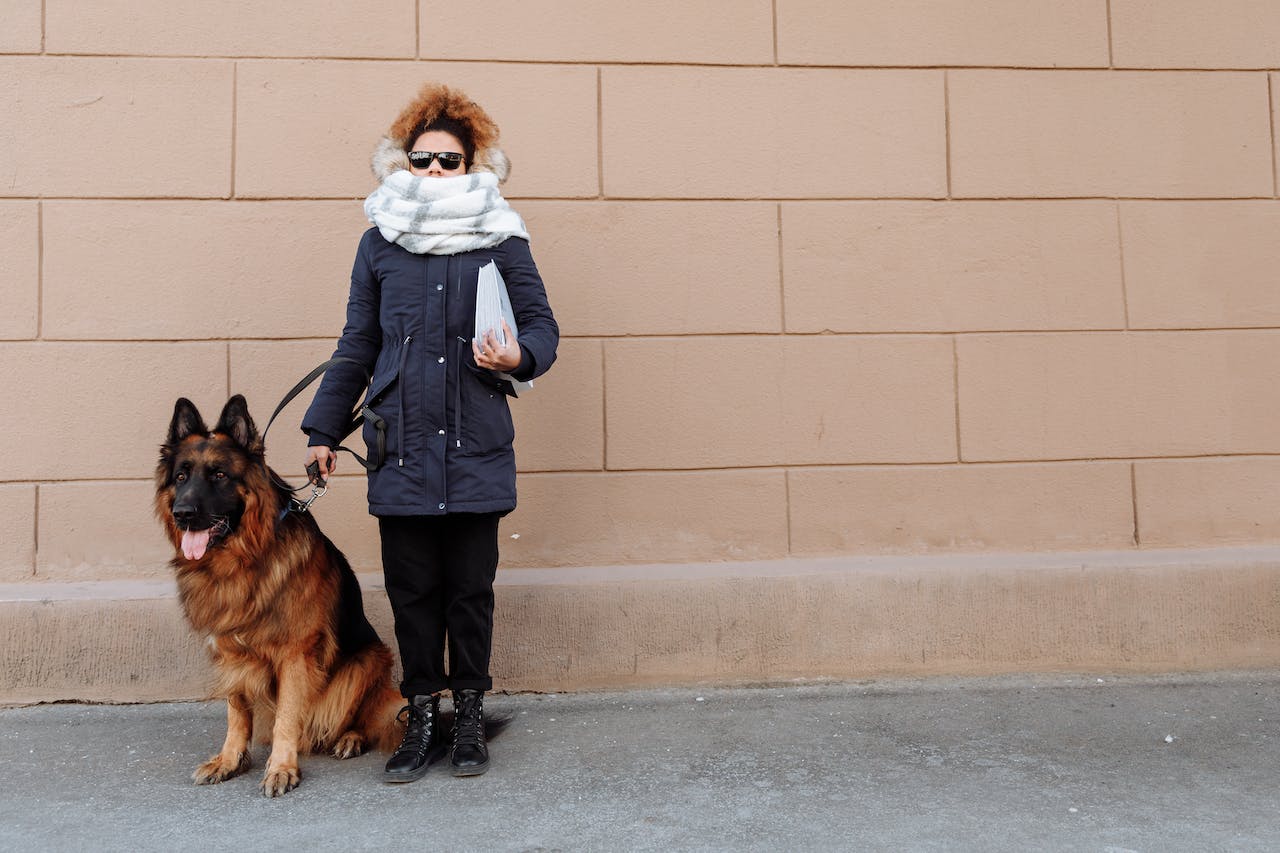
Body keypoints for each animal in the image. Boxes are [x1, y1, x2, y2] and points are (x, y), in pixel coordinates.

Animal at [156, 394, 401, 794]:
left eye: (219, 475)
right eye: (181, 476)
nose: (183, 514)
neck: (243, 559)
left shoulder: (295, 654)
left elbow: (288, 714)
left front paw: (282, 767)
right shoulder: (231, 653)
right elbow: (236, 713)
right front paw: (230, 760)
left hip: (366, 661)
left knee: (369, 718)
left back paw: (350, 737)